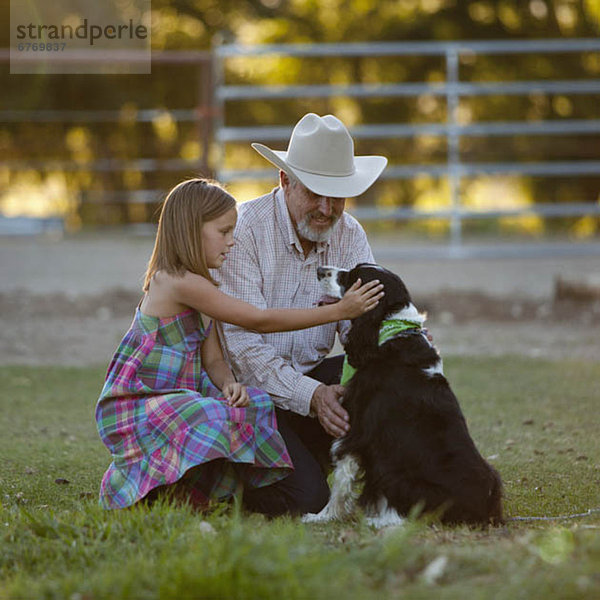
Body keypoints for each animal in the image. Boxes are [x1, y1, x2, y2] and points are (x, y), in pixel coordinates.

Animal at [302, 264, 504, 528]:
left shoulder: (356, 429)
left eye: (352, 277)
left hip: (404, 478)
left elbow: (342, 478)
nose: (320, 269)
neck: (389, 330)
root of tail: (485, 508)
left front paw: (321, 516)